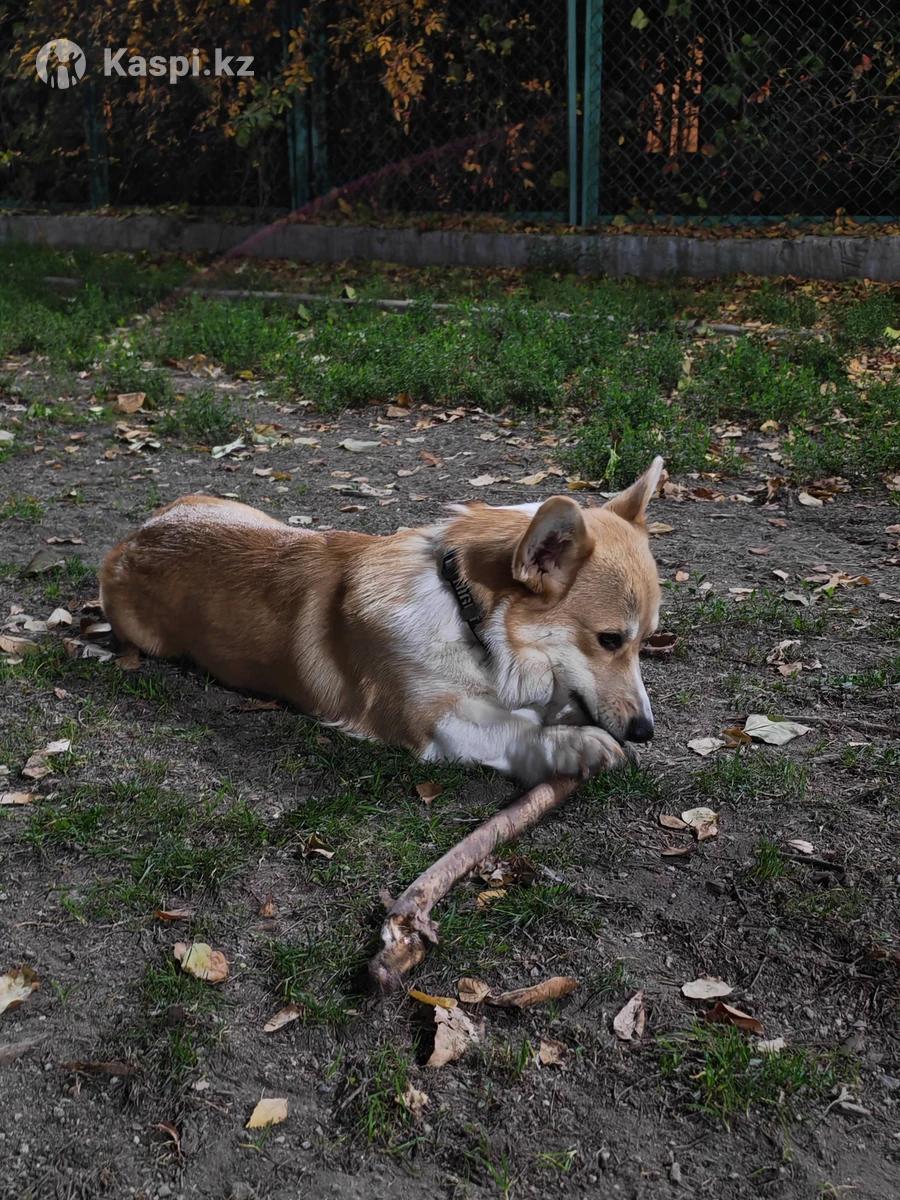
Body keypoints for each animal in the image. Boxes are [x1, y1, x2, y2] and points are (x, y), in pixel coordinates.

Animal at [100, 456, 664, 784]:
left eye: (646, 642)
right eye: (609, 639)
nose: (645, 732)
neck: (463, 609)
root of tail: (130, 541)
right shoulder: (429, 721)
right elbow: (511, 727)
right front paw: (575, 743)